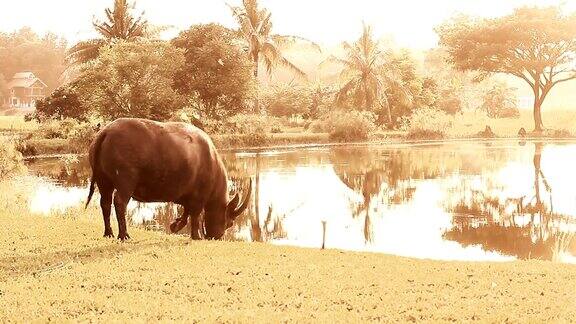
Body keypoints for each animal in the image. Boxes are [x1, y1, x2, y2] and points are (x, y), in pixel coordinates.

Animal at [84, 117, 251, 239]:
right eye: (230, 223)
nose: (218, 236)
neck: (211, 162)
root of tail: (106, 132)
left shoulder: (188, 196)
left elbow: (186, 213)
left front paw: (175, 225)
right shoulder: (198, 198)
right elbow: (195, 215)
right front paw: (196, 236)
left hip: (103, 181)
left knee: (105, 203)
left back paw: (109, 233)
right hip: (125, 181)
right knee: (119, 202)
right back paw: (123, 235)